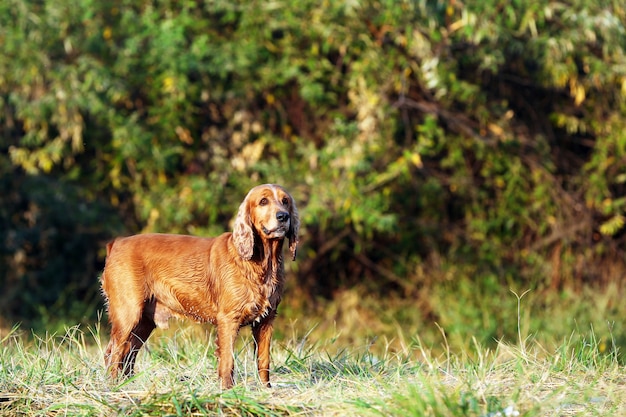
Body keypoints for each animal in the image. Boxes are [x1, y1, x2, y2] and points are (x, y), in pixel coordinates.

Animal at [100, 184, 300, 388]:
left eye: (285, 201)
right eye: (263, 201)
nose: (283, 216)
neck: (261, 263)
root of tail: (116, 243)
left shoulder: (267, 319)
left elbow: (263, 361)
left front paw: (265, 389)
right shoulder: (229, 319)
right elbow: (228, 361)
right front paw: (227, 390)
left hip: (144, 322)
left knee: (127, 354)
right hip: (128, 314)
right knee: (114, 353)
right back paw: (114, 386)